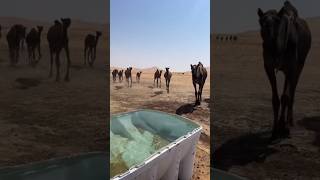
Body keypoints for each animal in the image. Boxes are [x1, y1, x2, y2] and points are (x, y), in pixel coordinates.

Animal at [258, 0, 312, 139]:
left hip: (300, 64)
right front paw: (275, 130)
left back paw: (290, 122)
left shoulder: (291, 65)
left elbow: (286, 96)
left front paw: (284, 128)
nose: (269, 43)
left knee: (292, 90)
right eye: (261, 22)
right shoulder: (268, 66)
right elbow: (276, 99)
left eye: (277, 21)